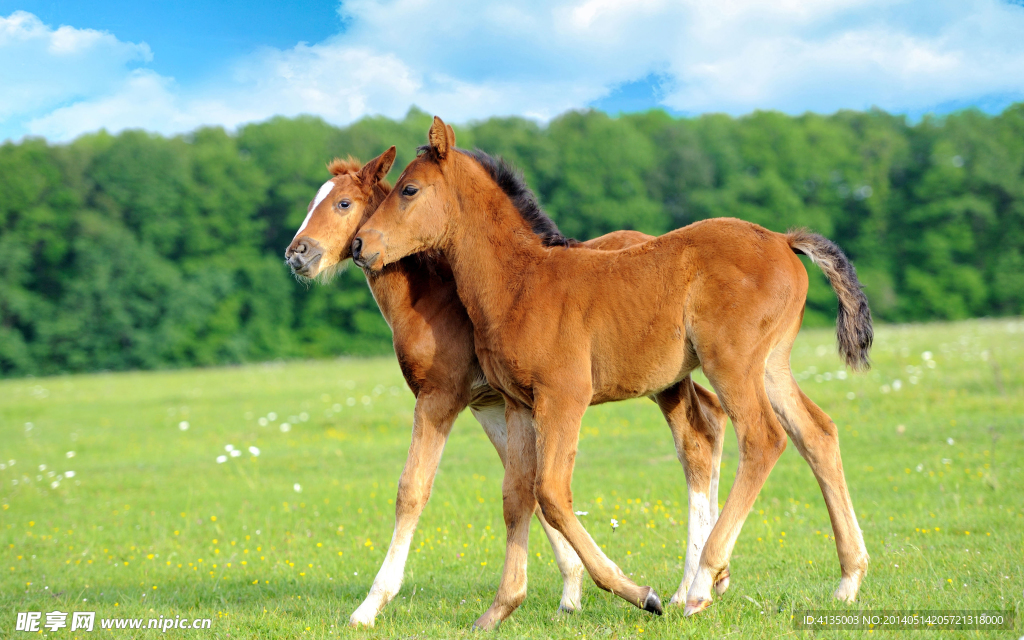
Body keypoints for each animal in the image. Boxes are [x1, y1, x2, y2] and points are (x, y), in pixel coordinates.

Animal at [284, 148, 731, 627]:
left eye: (343, 204)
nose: (297, 253)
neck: (435, 299)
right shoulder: (493, 405)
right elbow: (526, 489)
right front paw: (569, 592)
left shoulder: (441, 397)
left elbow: (413, 490)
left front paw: (370, 605)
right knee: (712, 420)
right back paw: (714, 578)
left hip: (664, 381)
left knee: (694, 444)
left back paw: (690, 587)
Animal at [352, 117, 872, 629]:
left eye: (409, 190)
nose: (360, 244)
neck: (520, 282)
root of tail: (783, 240)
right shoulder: (518, 403)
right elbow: (518, 495)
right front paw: (500, 609)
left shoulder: (564, 395)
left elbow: (551, 492)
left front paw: (640, 594)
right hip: (771, 365)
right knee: (816, 433)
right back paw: (848, 580)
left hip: (732, 363)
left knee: (764, 438)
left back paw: (702, 584)